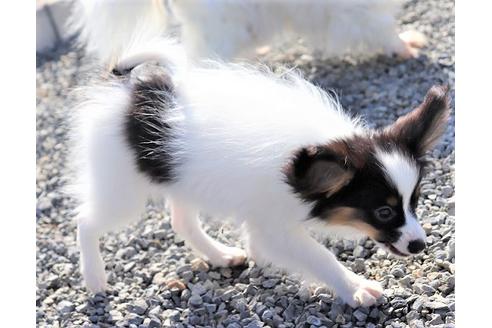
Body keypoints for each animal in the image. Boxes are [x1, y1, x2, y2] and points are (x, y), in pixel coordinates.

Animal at [69, 16, 450, 308]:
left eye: (414, 202)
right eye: (384, 212)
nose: (420, 245)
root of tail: (128, 89)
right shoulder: (272, 227)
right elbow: (318, 256)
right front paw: (356, 288)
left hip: (179, 177)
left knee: (181, 221)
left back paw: (220, 255)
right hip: (122, 190)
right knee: (86, 221)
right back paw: (95, 278)